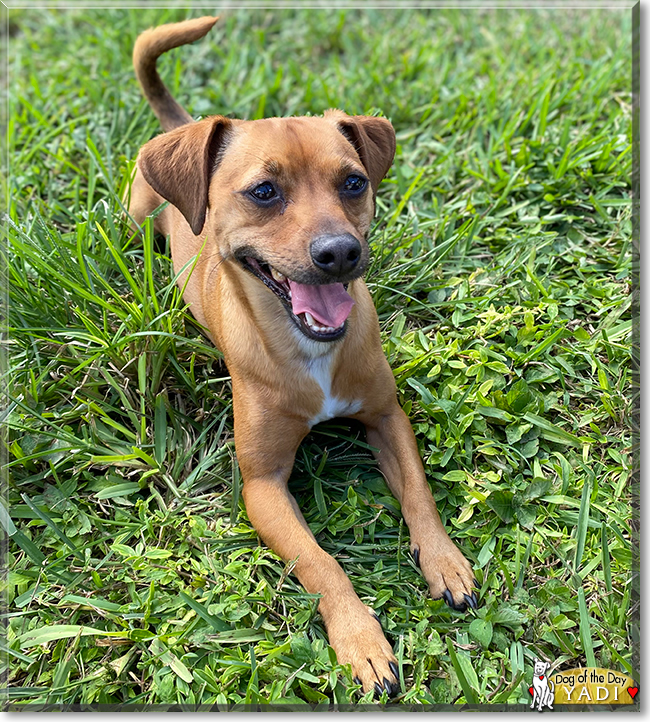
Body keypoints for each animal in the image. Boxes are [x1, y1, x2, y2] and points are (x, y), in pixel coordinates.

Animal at [126, 15, 474, 692]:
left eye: (354, 182)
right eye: (264, 191)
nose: (339, 253)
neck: (310, 350)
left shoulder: (386, 416)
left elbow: (419, 494)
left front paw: (443, 560)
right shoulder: (262, 486)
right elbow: (319, 563)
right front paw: (361, 638)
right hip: (134, 214)